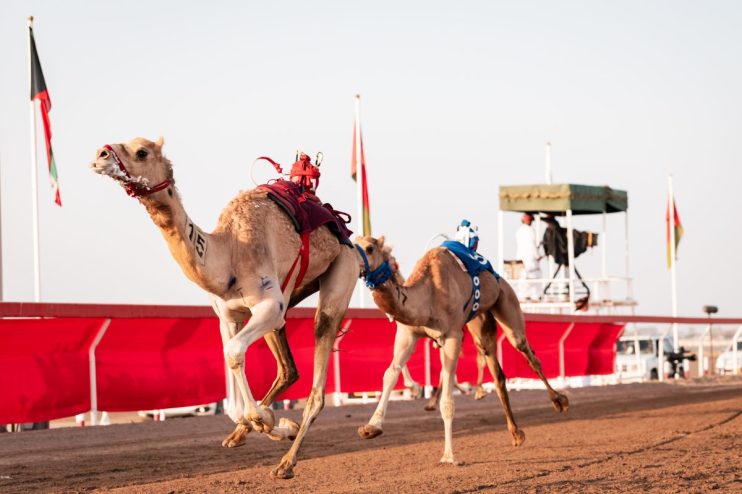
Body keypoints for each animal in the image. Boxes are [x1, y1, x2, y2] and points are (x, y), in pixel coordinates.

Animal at [90, 137, 360, 479]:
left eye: (142, 151)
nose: (99, 155)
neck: (229, 252)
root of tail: (344, 232)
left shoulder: (268, 303)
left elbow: (233, 353)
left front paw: (268, 421)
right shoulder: (228, 316)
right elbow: (230, 361)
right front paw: (264, 422)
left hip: (340, 271)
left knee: (318, 370)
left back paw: (286, 463)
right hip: (288, 299)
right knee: (288, 369)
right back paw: (248, 433)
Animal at [354, 235, 569, 465]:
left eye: (370, 248)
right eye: (353, 240)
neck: (427, 296)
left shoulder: (452, 336)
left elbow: (448, 399)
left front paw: (449, 456)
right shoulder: (407, 334)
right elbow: (390, 374)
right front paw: (371, 428)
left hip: (506, 300)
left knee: (527, 352)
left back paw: (559, 401)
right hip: (480, 321)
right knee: (497, 372)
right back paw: (516, 433)